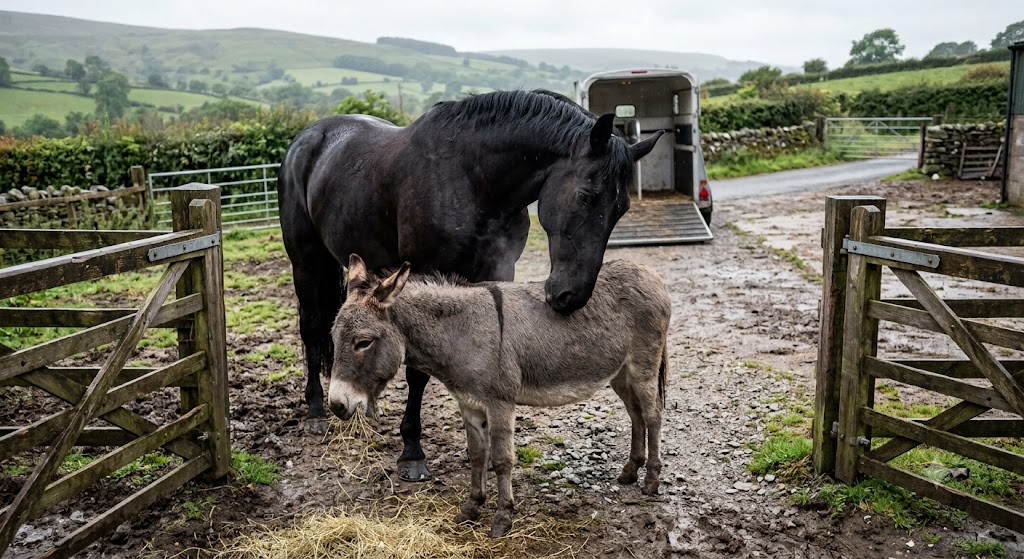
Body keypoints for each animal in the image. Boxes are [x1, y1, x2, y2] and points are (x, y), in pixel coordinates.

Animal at [277, 89, 663, 482]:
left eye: (622, 207)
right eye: (586, 195)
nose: (572, 296)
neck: (470, 179)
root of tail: (308, 138)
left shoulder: (497, 271)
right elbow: (417, 372)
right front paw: (412, 452)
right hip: (306, 260)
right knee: (312, 329)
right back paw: (315, 411)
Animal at [329, 254, 670, 537]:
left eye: (363, 342)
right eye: (333, 338)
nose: (336, 405)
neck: (461, 334)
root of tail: (650, 272)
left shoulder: (500, 403)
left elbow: (503, 459)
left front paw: (503, 518)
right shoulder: (468, 404)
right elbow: (478, 455)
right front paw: (471, 507)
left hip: (643, 366)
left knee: (653, 415)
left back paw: (651, 481)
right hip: (620, 373)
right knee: (636, 414)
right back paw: (630, 471)